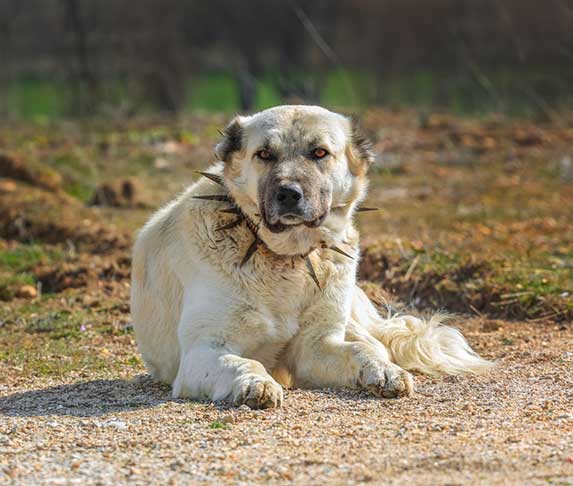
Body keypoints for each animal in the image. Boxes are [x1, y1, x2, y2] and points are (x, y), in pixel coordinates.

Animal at [131, 104, 492, 408]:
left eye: (319, 152)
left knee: (373, 342)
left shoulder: (316, 346)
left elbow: (358, 352)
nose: (289, 194)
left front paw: (383, 372)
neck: (284, 259)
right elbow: (241, 361)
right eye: (264, 154)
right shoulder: (202, 351)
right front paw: (255, 382)